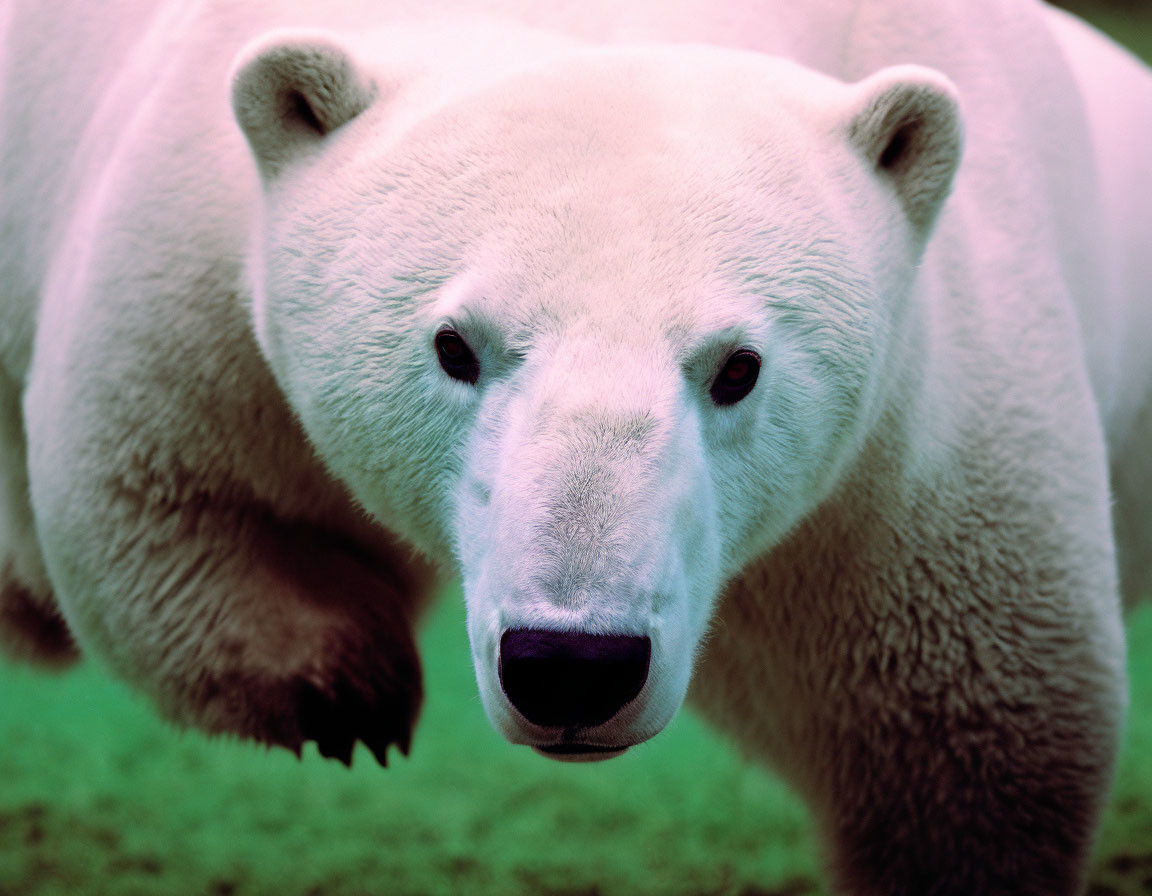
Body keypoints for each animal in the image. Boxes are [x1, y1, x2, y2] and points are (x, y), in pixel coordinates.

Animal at [2, 0, 1152, 889]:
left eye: (739, 366)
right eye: (454, 345)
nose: (570, 666)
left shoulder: (907, 440)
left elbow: (968, 743)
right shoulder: (190, 225)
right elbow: (169, 485)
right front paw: (347, 687)